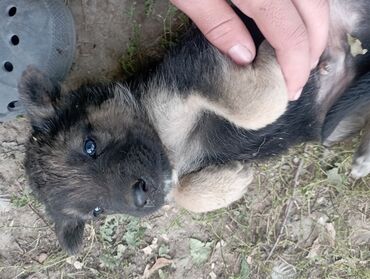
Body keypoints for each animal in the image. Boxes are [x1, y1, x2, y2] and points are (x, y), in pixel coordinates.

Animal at [18, 0, 370, 254]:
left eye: (89, 146)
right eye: (96, 211)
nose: (140, 198)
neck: (168, 144)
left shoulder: (195, 69)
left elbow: (254, 106)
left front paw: (274, 57)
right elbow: (183, 192)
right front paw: (228, 183)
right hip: (337, 122)